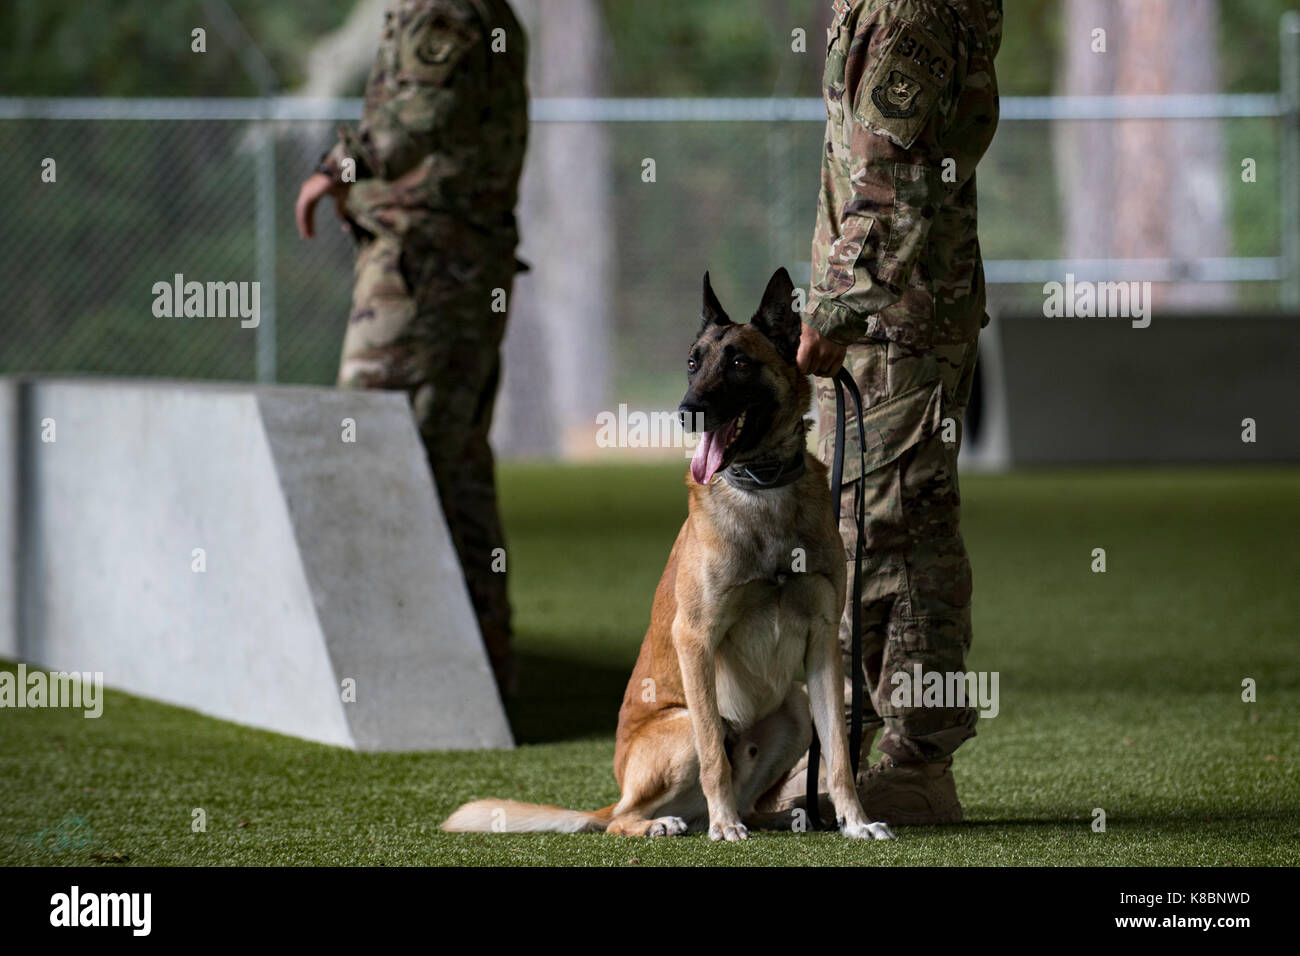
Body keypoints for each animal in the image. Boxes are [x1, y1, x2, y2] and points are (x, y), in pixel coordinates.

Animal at [447, 269, 894, 837]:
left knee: (754, 797)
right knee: (624, 816)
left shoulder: (822, 644)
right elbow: (714, 757)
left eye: (739, 363)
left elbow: (838, 752)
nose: (686, 413)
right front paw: (725, 829)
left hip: (794, 705)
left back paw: (780, 816)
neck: (763, 489)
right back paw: (677, 823)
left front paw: (856, 821)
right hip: (680, 729)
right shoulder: (695, 638)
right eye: (692, 362)